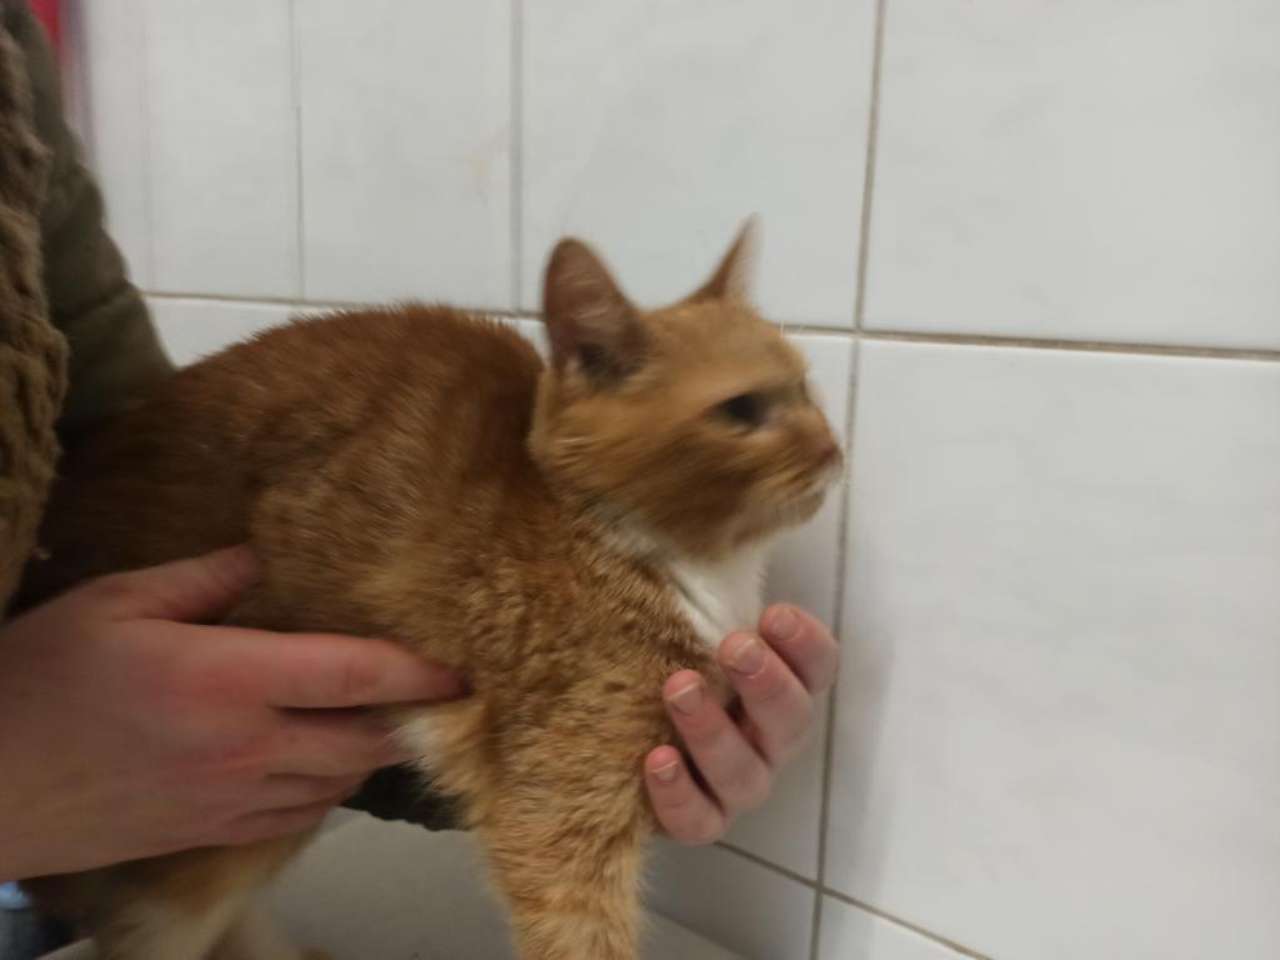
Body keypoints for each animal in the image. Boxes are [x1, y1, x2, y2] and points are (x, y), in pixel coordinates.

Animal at [18, 220, 841, 960]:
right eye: (742, 410)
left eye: (806, 387)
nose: (836, 450)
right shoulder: (556, 808)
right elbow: (580, 932)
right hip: (213, 828)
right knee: (146, 924)